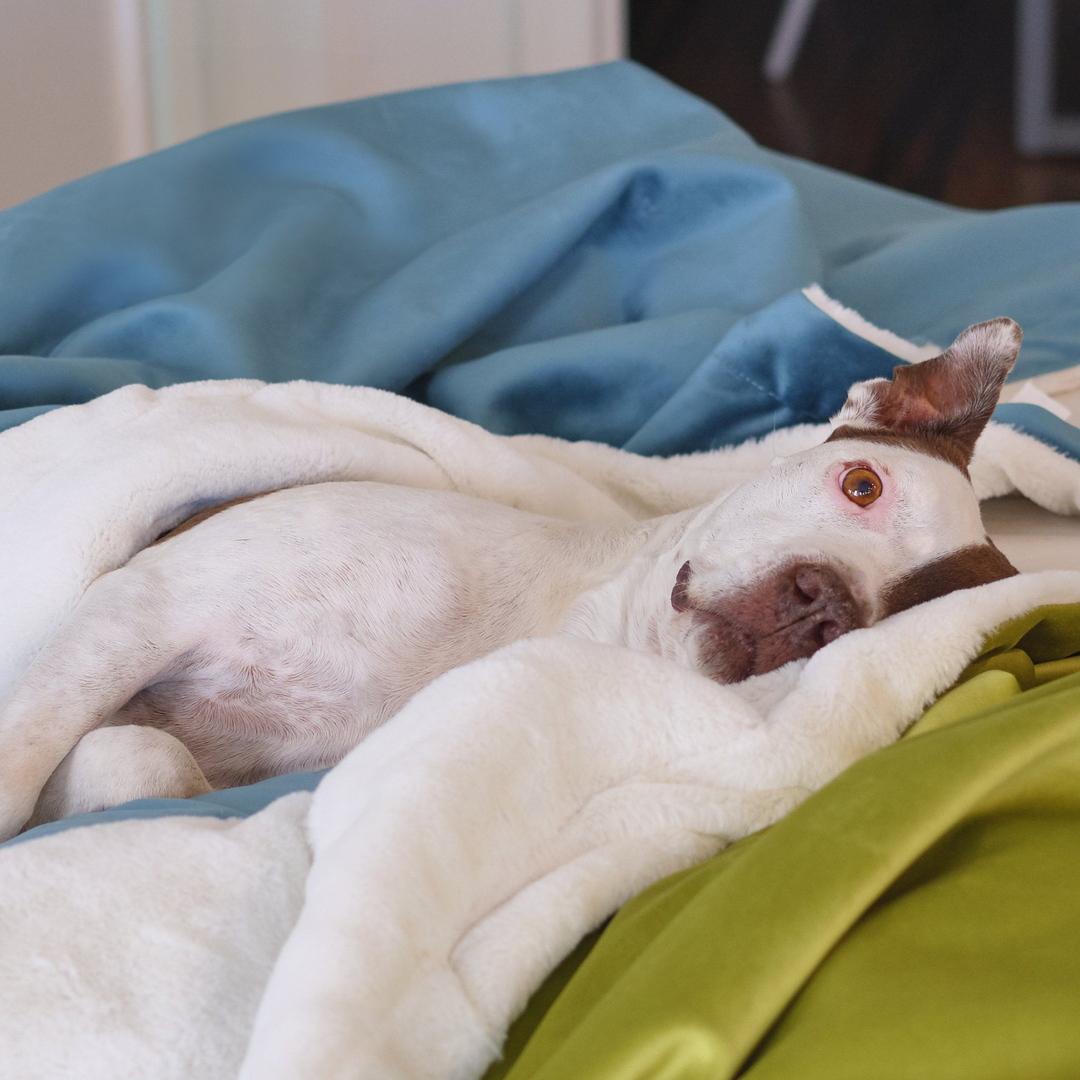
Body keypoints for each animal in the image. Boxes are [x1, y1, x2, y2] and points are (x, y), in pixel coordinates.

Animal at [0, 315, 1019, 838]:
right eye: (861, 485)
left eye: (894, 617)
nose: (826, 604)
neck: (568, 614)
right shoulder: (142, 608)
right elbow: (29, 748)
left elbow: (131, 759)